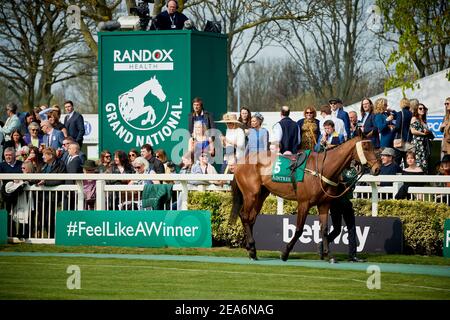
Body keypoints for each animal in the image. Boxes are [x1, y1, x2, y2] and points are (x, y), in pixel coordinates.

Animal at [230, 136, 382, 262]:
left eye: (374, 147)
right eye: (366, 147)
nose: (377, 168)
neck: (322, 169)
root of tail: (241, 162)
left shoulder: (324, 204)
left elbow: (324, 229)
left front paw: (329, 255)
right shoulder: (304, 203)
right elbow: (299, 229)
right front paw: (285, 253)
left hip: (261, 195)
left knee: (251, 219)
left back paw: (252, 249)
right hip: (251, 194)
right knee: (244, 216)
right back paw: (251, 249)